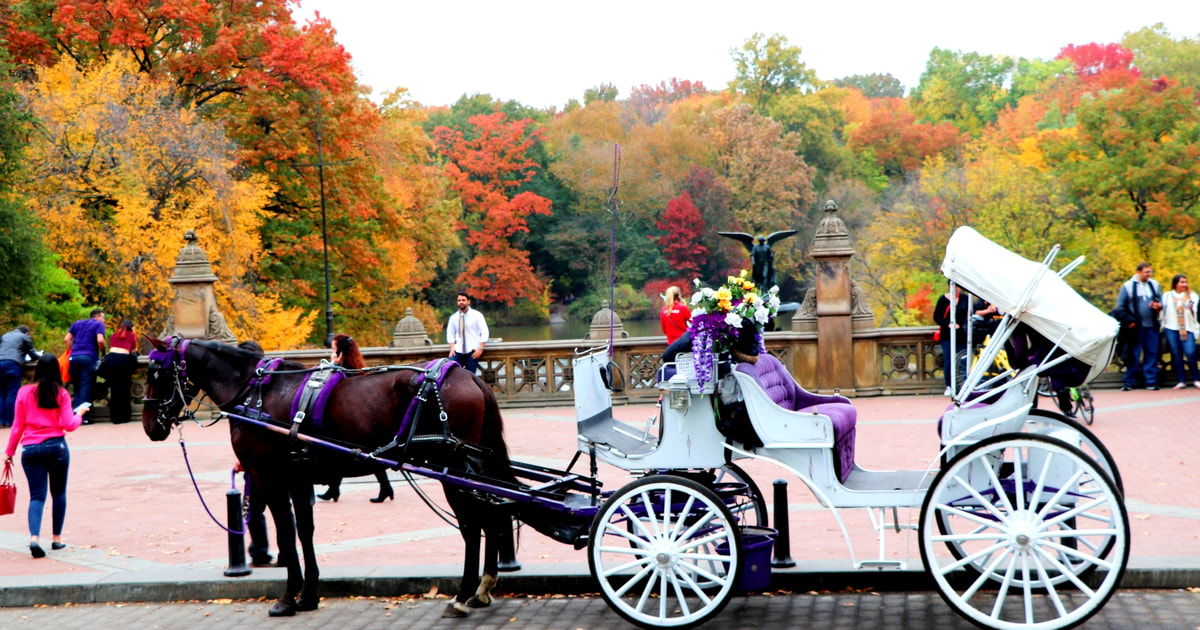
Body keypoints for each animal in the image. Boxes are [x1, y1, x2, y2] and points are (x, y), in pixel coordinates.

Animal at [140, 336, 580, 614]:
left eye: (156, 373)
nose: (149, 426)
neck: (255, 391)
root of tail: (466, 374)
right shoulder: (298, 478)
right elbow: (304, 532)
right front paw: (309, 595)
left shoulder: (269, 476)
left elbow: (285, 534)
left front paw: (287, 598)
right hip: (471, 468)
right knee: (492, 517)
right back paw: (482, 589)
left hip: (452, 469)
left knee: (474, 526)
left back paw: (463, 594)